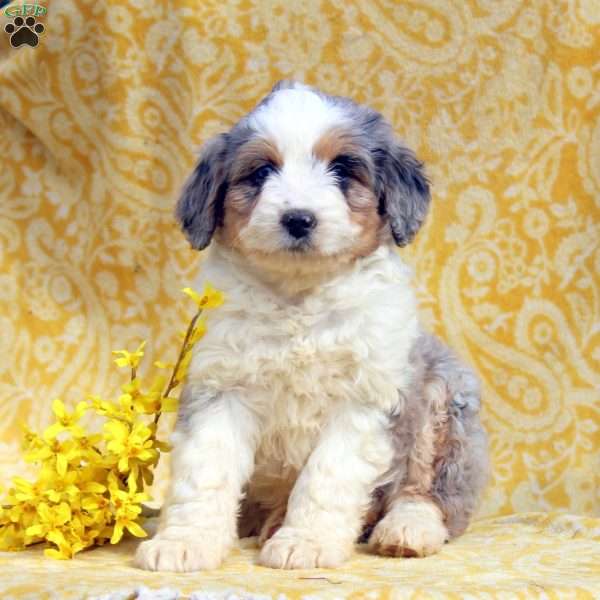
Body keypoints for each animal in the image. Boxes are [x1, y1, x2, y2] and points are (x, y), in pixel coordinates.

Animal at [135, 81, 488, 572]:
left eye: (341, 169)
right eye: (262, 171)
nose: (299, 218)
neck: (299, 302)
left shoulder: (366, 399)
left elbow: (327, 476)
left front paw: (305, 542)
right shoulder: (221, 388)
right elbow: (205, 472)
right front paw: (184, 541)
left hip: (442, 400)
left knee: (430, 491)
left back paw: (406, 530)